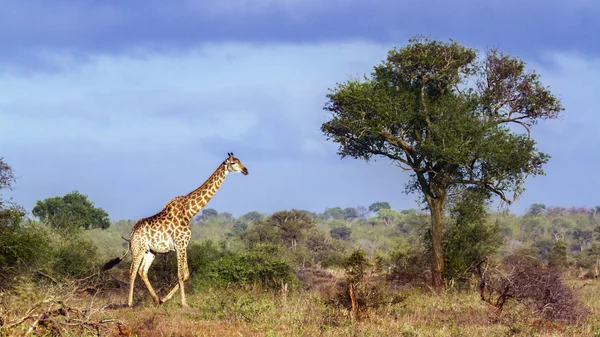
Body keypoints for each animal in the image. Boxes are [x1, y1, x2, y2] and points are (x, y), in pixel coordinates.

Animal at [102, 152, 247, 308]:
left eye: (239, 161)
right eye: (233, 163)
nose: (246, 170)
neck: (189, 212)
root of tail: (132, 231)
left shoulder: (183, 245)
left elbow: (186, 274)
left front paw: (165, 299)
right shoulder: (180, 244)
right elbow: (181, 274)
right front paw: (184, 304)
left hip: (150, 251)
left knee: (142, 271)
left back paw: (156, 299)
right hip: (137, 248)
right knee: (132, 271)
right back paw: (130, 303)